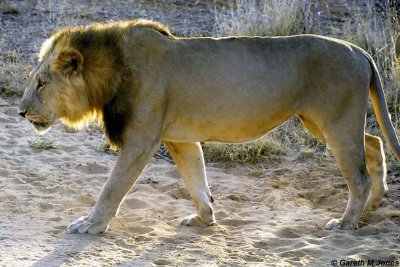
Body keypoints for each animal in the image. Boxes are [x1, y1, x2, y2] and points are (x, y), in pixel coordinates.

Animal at [18, 19, 400, 236]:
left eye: (41, 83)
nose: (20, 112)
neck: (110, 71)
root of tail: (358, 50)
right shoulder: (178, 139)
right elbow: (195, 179)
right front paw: (204, 219)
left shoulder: (142, 139)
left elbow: (112, 188)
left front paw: (91, 225)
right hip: (321, 122)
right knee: (373, 142)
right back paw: (375, 203)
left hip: (335, 121)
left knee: (359, 174)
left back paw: (347, 223)